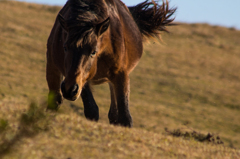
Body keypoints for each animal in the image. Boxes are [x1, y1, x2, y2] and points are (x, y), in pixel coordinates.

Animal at [46, 0, 176, 126]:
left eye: (93, 52)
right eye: (65, 47)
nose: (69, 89)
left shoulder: (120, 74)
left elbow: (124, 117)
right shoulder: (82, 79)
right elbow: (92, 110)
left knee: (114, 113)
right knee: (56, 99)